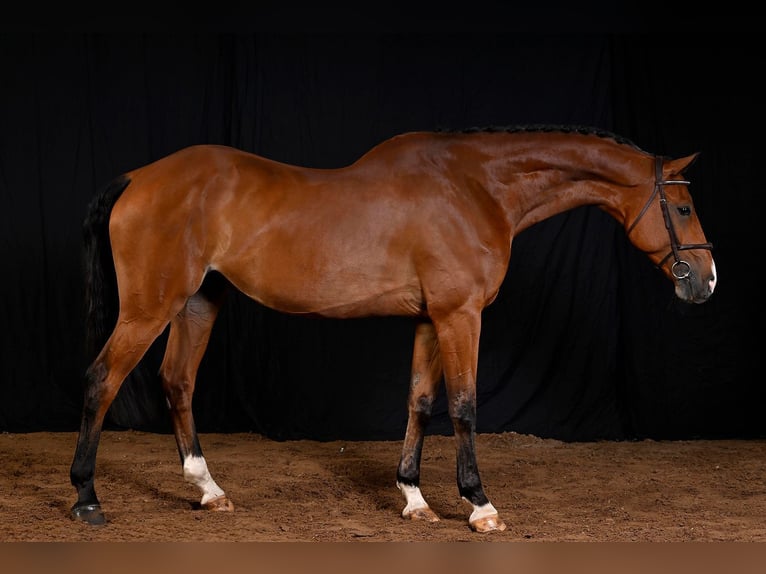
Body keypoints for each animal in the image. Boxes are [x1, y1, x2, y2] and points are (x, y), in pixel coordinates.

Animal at [69, 126, 716, 536]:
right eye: (683, 209)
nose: (706, 282)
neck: (475, 188)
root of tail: (138, 178)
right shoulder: (460, 315)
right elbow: (464, 406)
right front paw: (479, 505)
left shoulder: (431, 318)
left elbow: (420, 403)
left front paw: (414, 498)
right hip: (151, 308)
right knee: (102, 379)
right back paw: (86, 498)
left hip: (199, 301)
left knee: (177, 381)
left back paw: (208, 490)